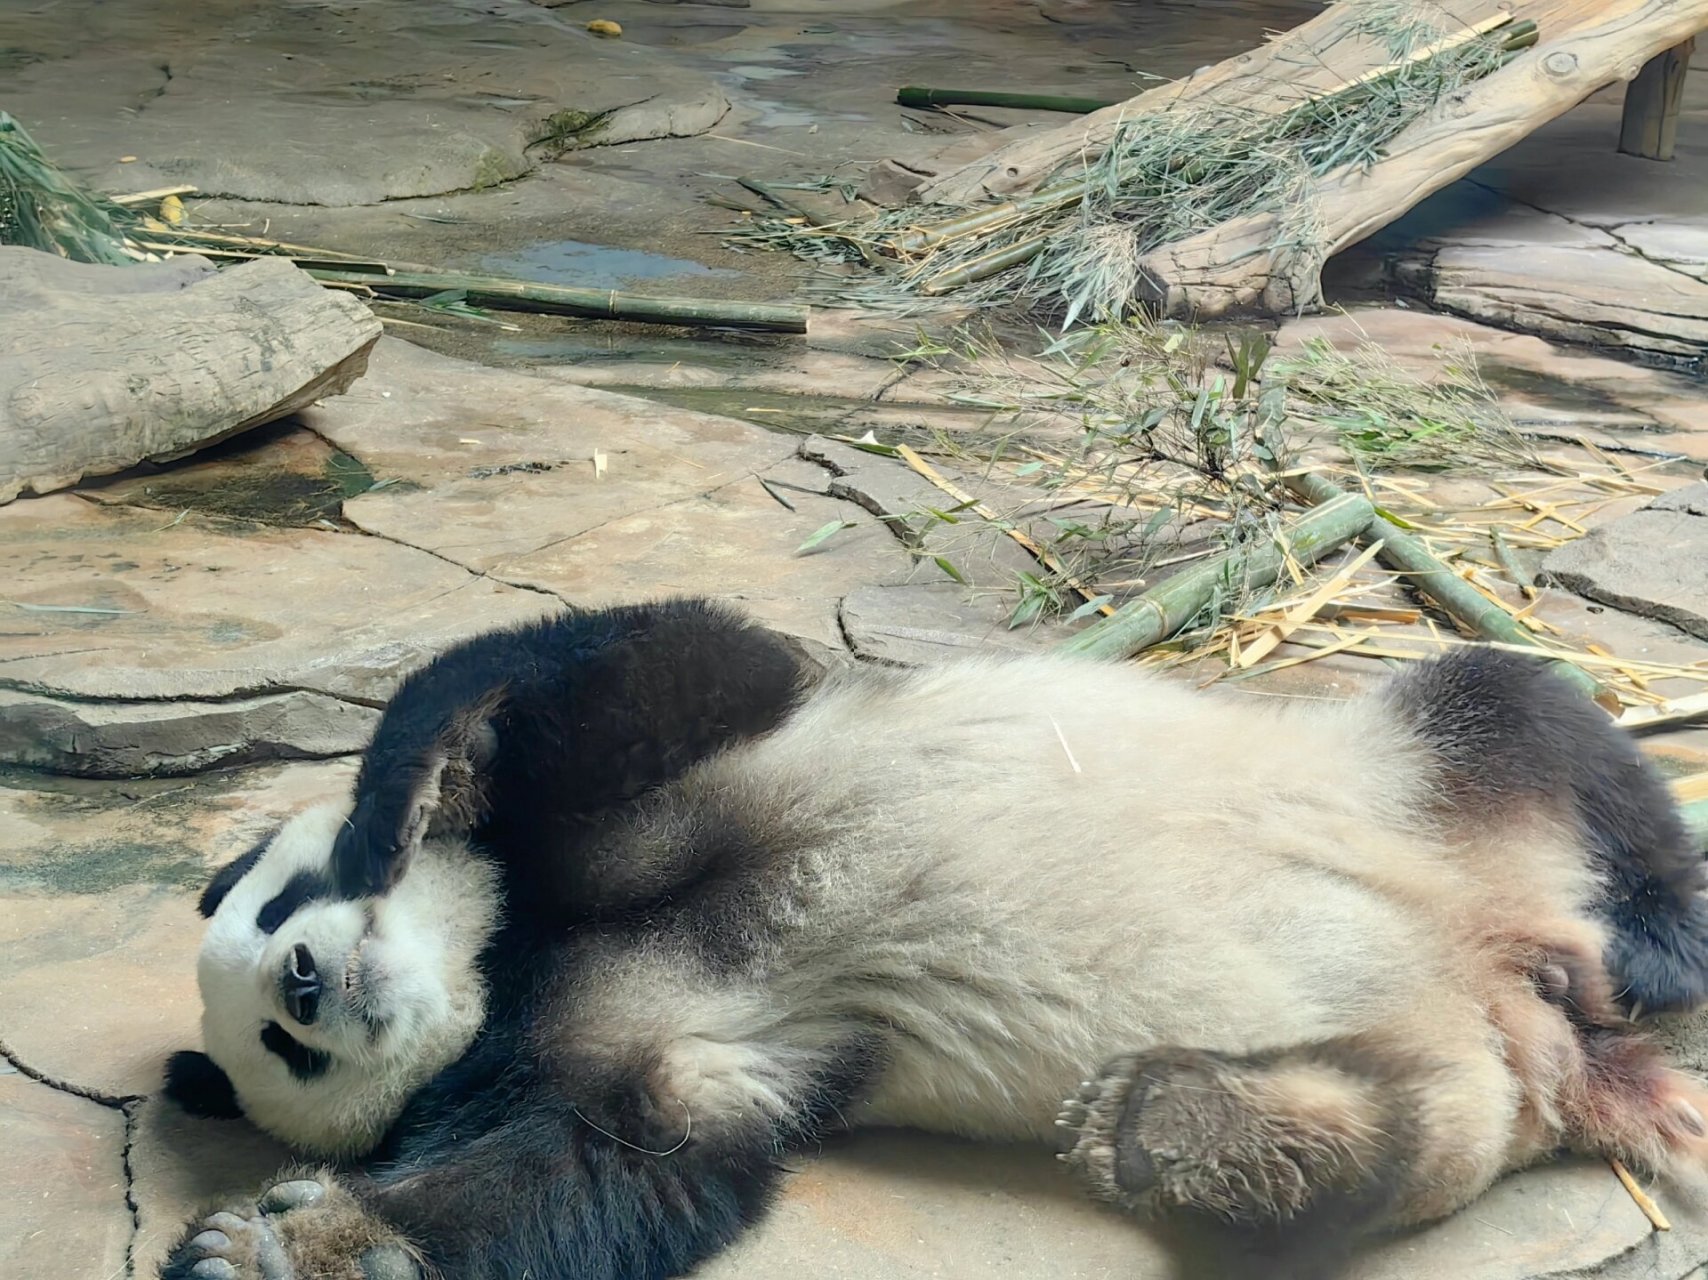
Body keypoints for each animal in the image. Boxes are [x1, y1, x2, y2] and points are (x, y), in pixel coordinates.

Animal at [160, 598, 1708, 1278]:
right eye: (284, 1050)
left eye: (280, 918)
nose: (318, 983)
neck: (514, 960)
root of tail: (1534, 1003)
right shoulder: (640, 1051)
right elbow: (614, 1167)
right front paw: (290, 1246)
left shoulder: (679, 775)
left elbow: (635, 671)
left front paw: (415, 791)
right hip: (1457, 1080)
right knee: (1408, 1146)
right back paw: (1177, 1127)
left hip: (1418, 772)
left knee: (1523, 710)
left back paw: (1657, 937)